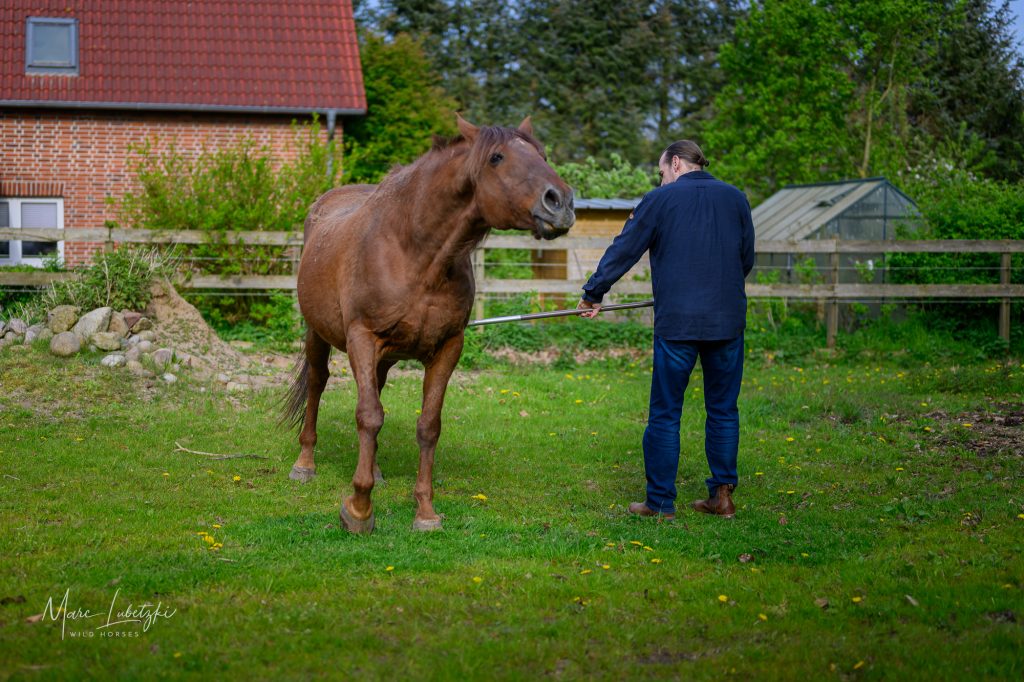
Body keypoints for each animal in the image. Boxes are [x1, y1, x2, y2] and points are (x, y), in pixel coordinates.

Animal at [282, 115, 576, 534]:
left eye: (543, 155)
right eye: (497, 157)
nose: (561, 202)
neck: (414, 253)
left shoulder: (448, 347)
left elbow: (427, 426)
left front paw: (425, 511)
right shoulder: (362, 338)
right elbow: (368, 416)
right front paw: (359, 508)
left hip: (382, 358)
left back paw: (376, 470)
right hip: (317, 334)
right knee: (318, 383)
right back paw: (305, 464)